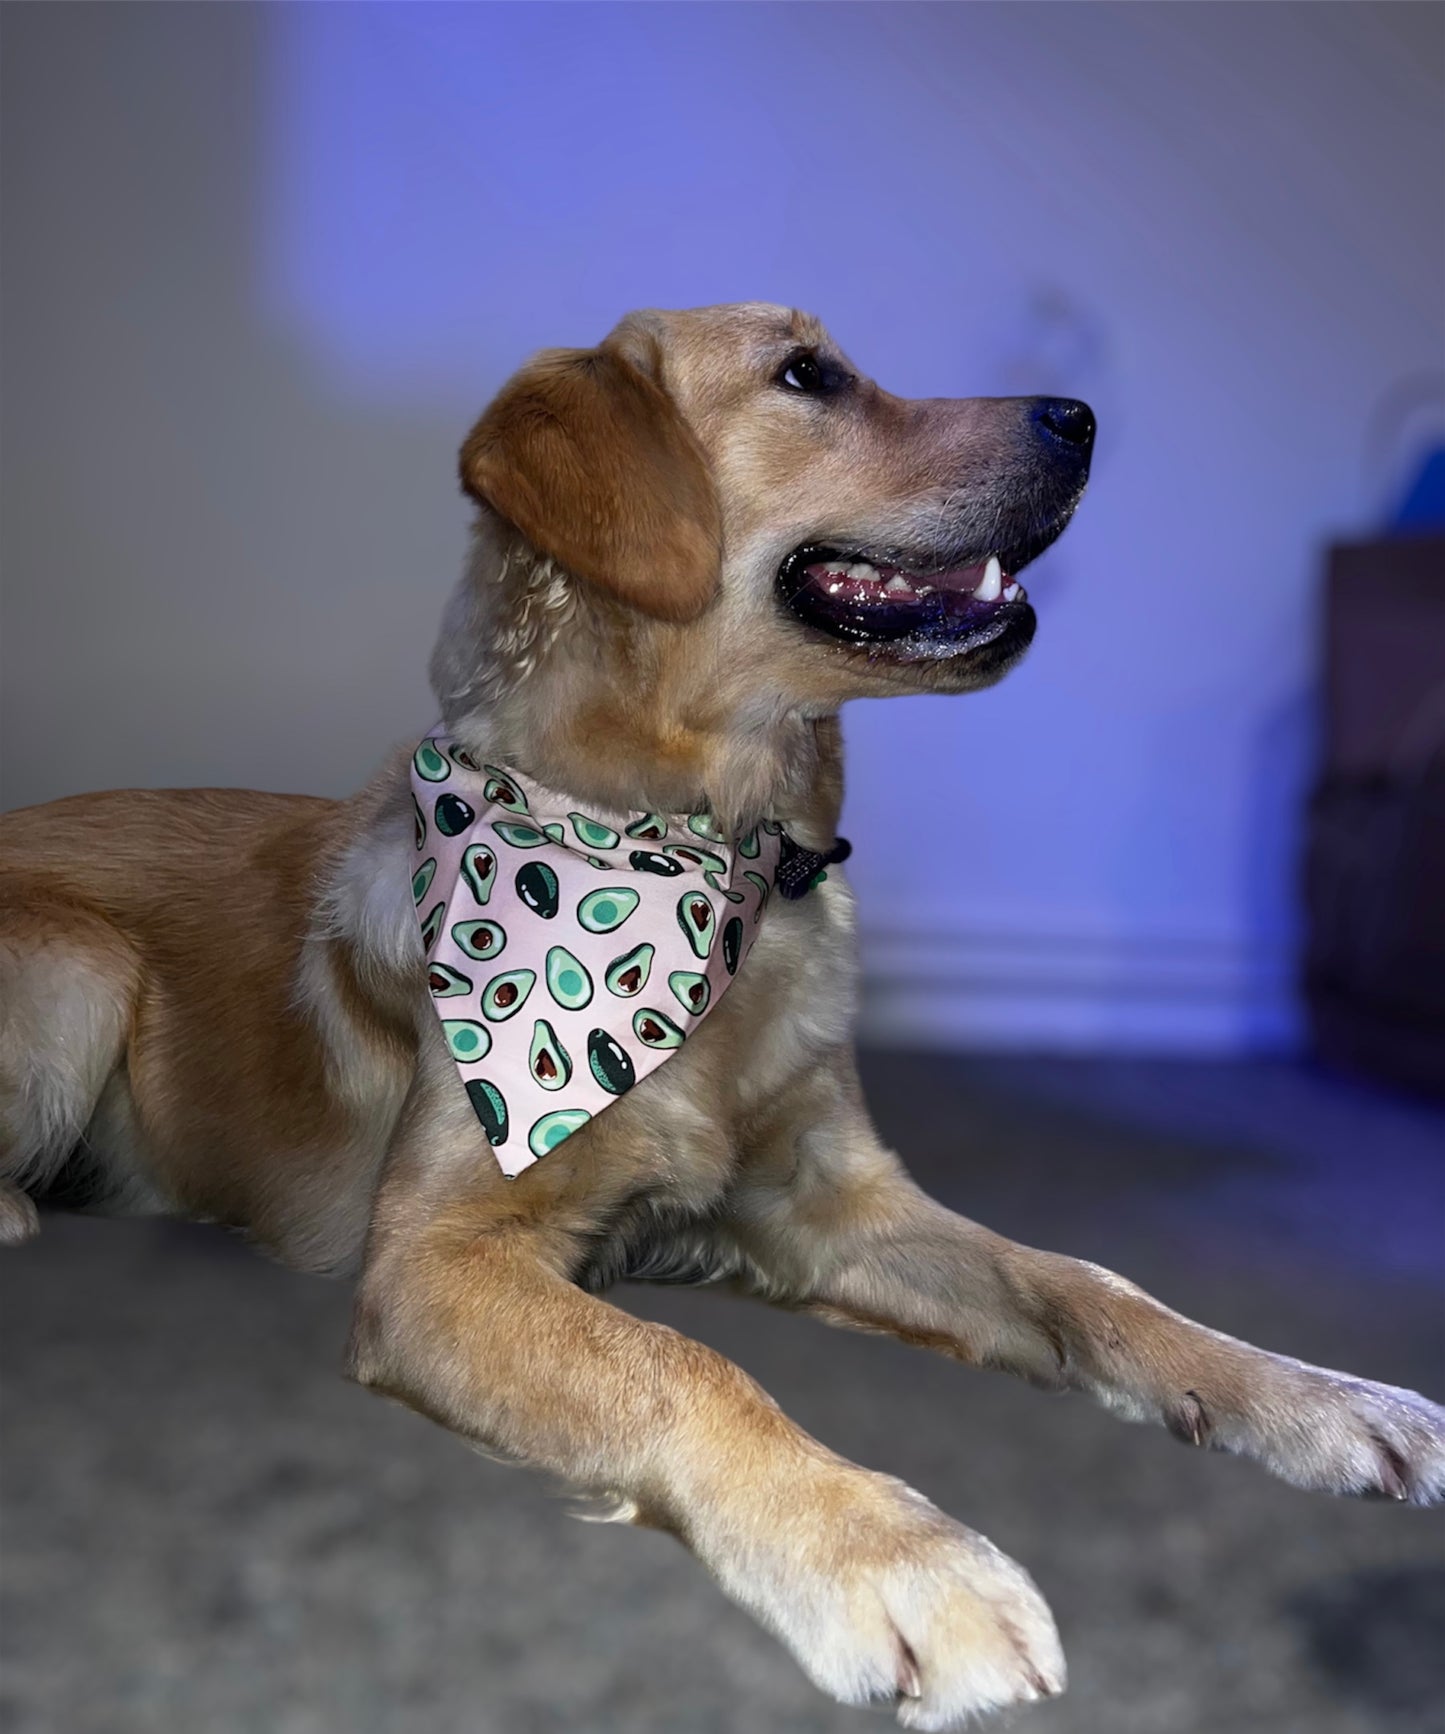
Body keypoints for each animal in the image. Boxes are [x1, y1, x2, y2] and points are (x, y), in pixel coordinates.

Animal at [2, 305, 1443, 1727]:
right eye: (807, 375)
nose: (1080, 417)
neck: (704, 858)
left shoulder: (830, 1202)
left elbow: (1085, 1284)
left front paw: (1318, 1399)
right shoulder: (431, 1259)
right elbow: (683, 1363)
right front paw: (900, 1558)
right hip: (78, 962)